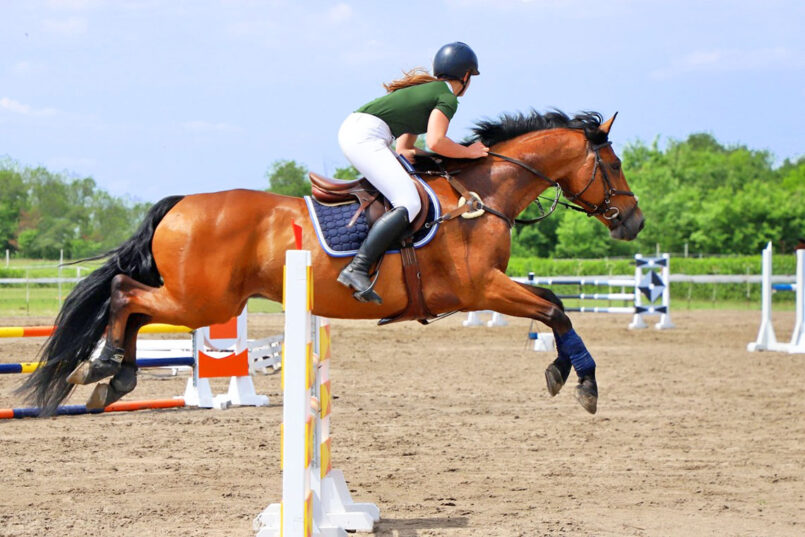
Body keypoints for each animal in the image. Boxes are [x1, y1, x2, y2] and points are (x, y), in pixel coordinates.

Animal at [18, 111, 644, 416]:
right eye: (613, 164)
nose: (634, 223)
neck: (481, 194)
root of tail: (182, 203)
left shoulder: (490, 288)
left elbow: (554, 305)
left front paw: (562, 373)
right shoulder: (481, 289)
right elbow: (556, 310)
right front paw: (582, 381)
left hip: (202, 298)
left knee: (133, 304)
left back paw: (114, 377)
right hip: (203, 299)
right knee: (125, 293)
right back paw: (101, 368)